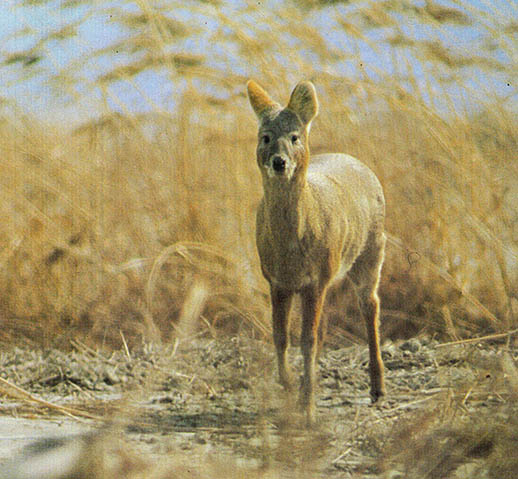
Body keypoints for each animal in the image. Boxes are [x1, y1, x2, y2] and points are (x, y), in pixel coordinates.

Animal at [250, 79, 388, 428]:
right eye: (265, 136)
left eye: (295, 136)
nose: (280, 162)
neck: (291, 247)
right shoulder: (277, 281)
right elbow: (281, 336)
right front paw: (289, 389)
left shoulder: (316, 280)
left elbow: (308, 342)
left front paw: (309, 409)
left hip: (371, 255)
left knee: (371, 306)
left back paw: (378, 388)